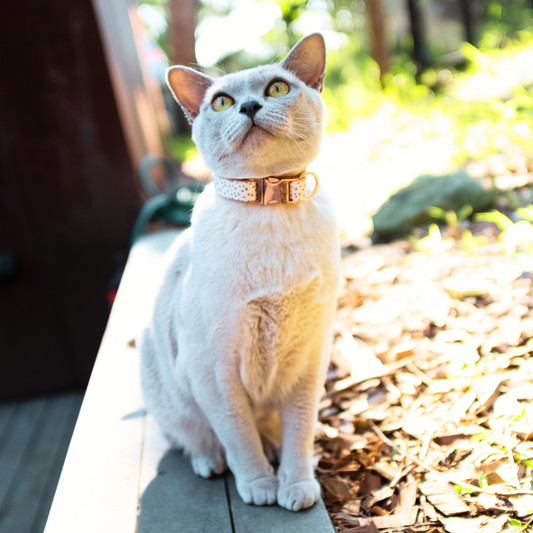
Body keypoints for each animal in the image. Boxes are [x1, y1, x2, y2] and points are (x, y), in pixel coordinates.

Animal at [139, 33, 338, 512]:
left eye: (277, 89)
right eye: (222, 102)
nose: (248, 106)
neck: (270, 206)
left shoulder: (311, 357)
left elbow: (299, 430)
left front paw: (295, 486)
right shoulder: (213, 370)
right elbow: (238, 434)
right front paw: (261, 487)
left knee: (275, 431)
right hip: (166, 378)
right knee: (197, 438)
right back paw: (212, 463)